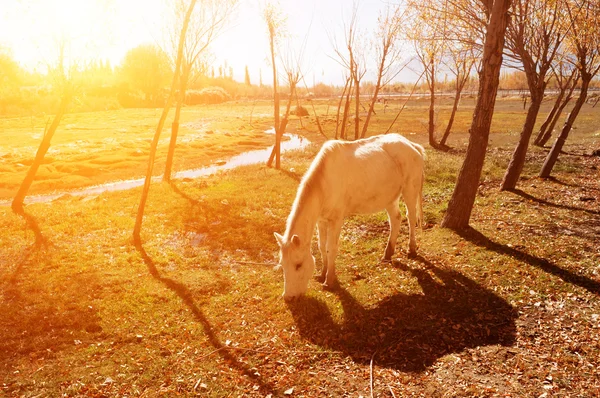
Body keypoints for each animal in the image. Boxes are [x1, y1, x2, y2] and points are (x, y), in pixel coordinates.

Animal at [274, 132, 424, 300]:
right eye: (282, 264)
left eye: (298, 265)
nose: (288, 297)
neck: (324, 184)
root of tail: (412, 145)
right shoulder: (321, 220)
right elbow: (321, 246)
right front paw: (322, 273)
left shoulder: (336, 220)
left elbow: (331, 248)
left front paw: (330, 280)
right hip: (390, 198)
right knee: (396, 219)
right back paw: (388, 253)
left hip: (410, 190)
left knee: (411, 218)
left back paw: (411, 249)